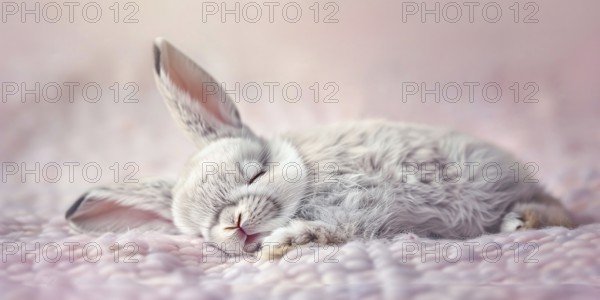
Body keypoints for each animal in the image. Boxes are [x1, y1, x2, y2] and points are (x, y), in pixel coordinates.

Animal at [64, 38, 572, 258]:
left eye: (255, 173)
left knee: (564, 213)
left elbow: (334, 227)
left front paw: (283, 244)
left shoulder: (361, 203)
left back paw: (523, 220)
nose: (234, 225)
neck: (307, 175)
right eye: (199, 231)